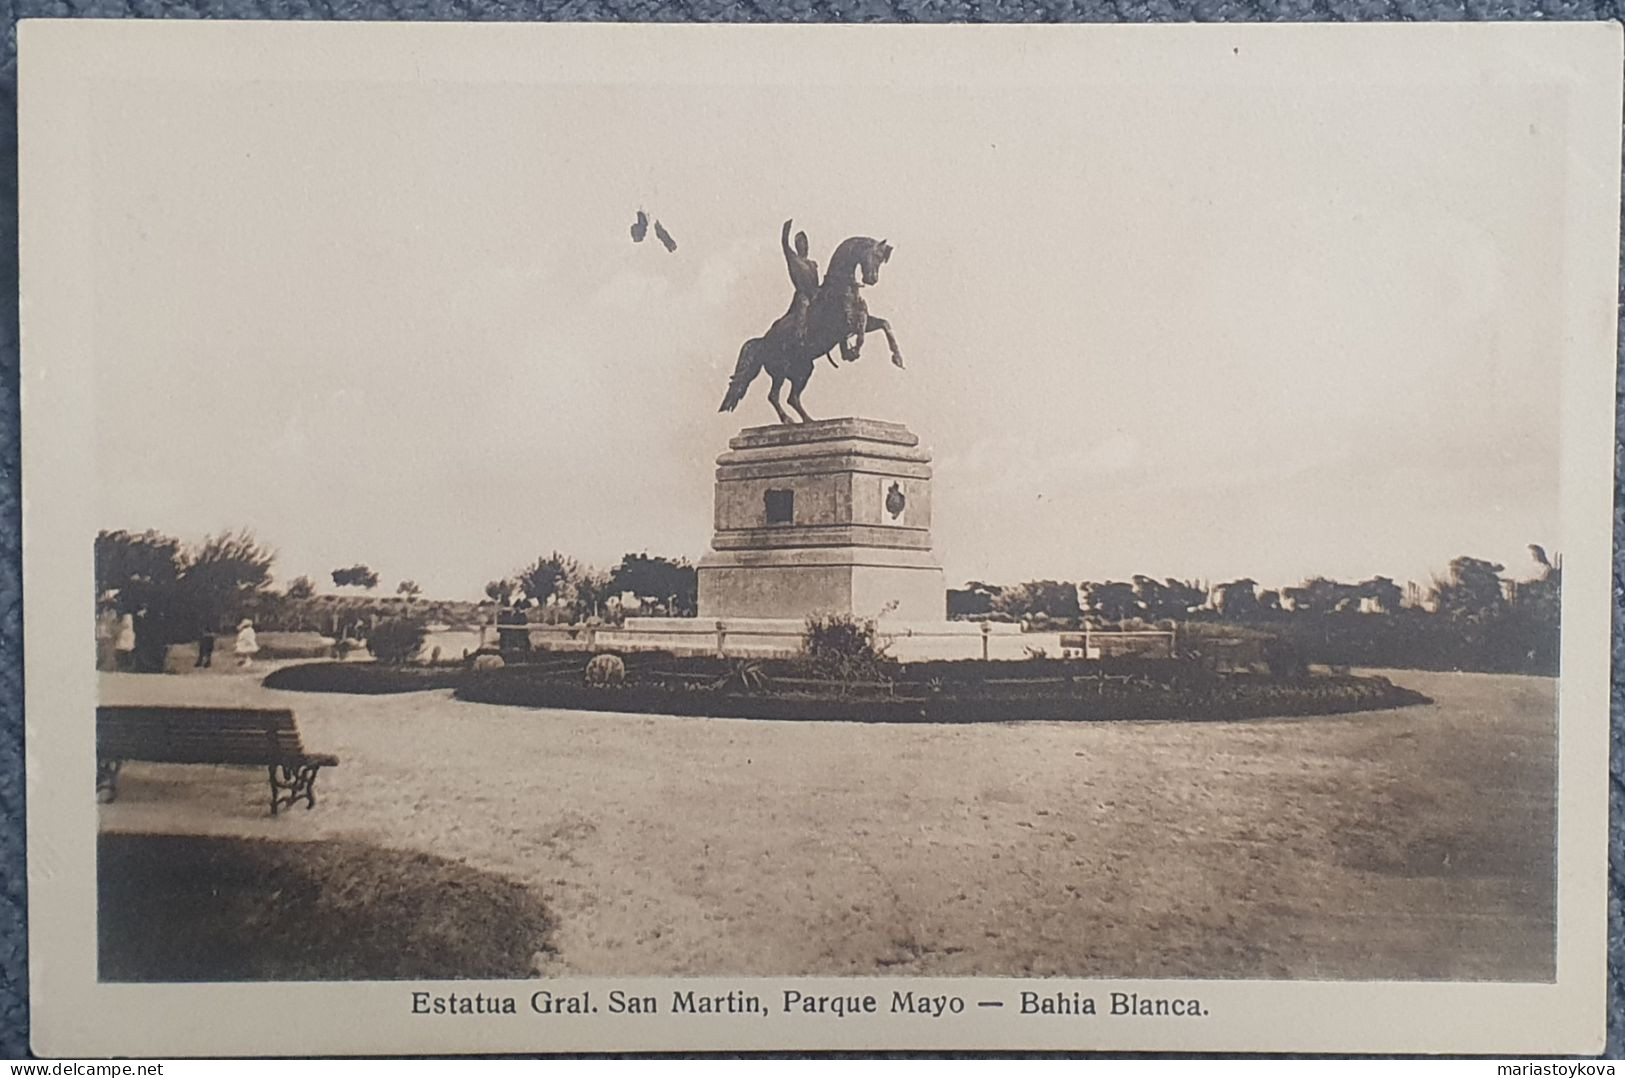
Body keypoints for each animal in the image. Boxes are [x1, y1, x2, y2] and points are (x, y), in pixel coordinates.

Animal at [721, 234, 910, 422]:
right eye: (876, 255)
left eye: (881, 259)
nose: (872, 280)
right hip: (781, 371)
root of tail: (763, 342)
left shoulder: (858, 322)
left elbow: (884, 324)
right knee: (774, 396)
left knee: (792, 398)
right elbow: (861, 327)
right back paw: (788, 420)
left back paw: (808, 420)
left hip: (804, 369)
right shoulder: (843, 325)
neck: (841, 287)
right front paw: (852, 352)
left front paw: (897, 358)